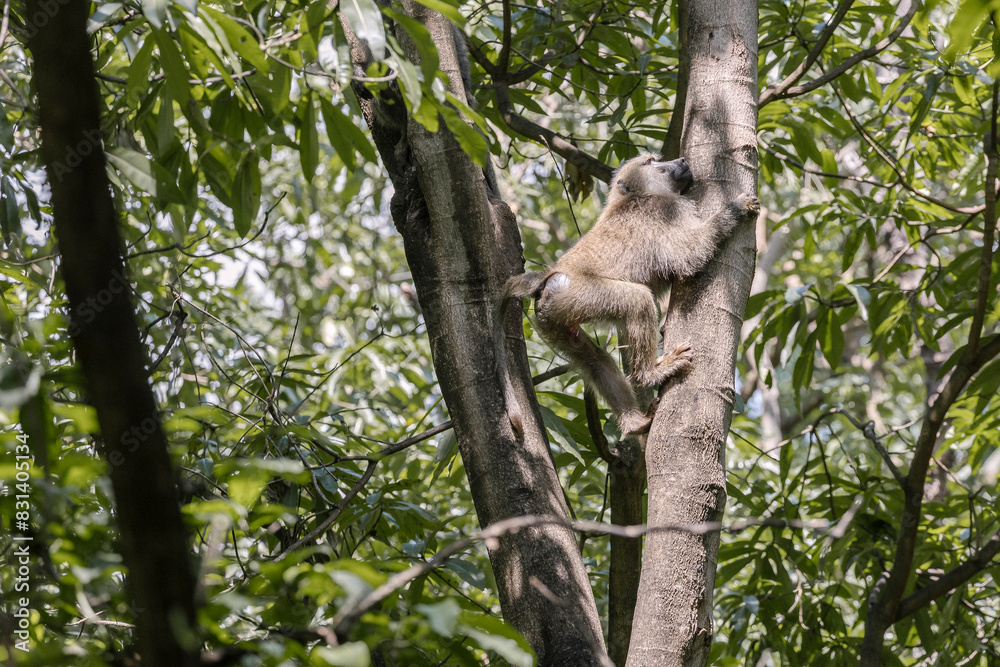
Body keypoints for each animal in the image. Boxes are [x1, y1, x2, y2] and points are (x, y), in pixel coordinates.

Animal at [501, 154, 760, 435]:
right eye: (650, 162)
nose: (681, 159)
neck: (636, 196)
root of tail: (548, 278)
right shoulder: (667, 210)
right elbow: (691, 255)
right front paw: (738, 207)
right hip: (580, 294)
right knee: (638, 300)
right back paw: (650, 374)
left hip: (553, 318)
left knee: (594, 360)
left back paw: (637, 424)